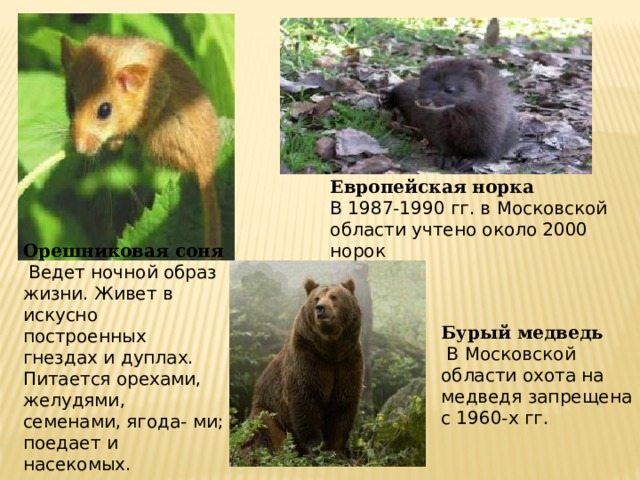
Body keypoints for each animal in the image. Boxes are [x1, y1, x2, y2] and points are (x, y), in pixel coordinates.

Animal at [247, 277, 364, 456]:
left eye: (334, 296)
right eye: (316, 298)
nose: (320, 308)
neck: (331, 349)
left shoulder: (347, 361)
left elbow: (342, 404)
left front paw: (337, 451)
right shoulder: (307, 357)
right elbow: (305, 399)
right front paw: (316, 447)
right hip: (269, 409)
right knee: (265, 430)